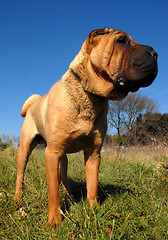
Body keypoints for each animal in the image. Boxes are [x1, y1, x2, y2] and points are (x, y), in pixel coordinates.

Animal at [14, 27, 158, 228]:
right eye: (122, 41)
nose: (155, 54)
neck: (89, 96)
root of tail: (34, 102)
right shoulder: (52, 153)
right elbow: (53, 192)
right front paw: (55, 221)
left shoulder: (93, 153)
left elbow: (92, 186)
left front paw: (95, 211)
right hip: (26, 150)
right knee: (21, 175)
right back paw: (18, 198)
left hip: (62, 157)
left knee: (63, 177)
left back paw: (71, 197)